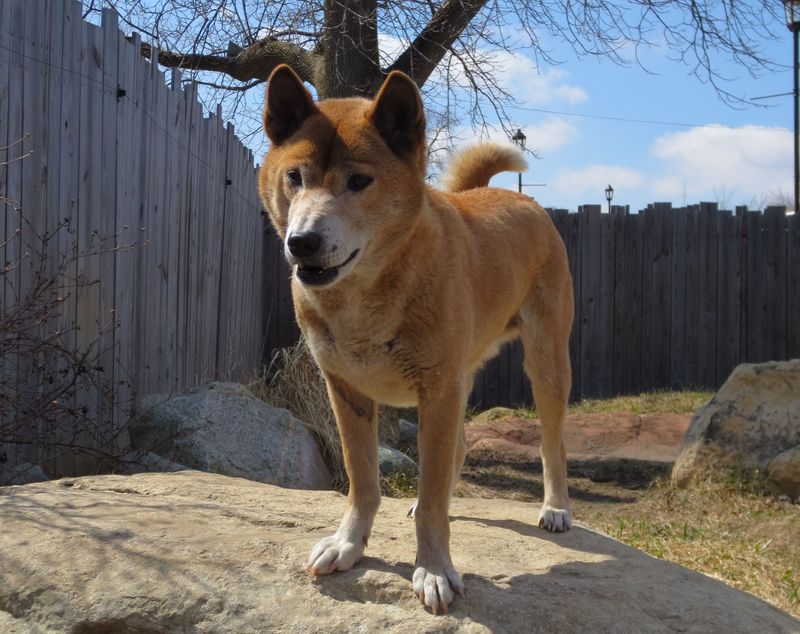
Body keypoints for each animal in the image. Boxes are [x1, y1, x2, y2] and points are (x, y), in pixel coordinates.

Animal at [260, 65, 572, 612]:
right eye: (295, 177)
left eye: (360, 181)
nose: (302, 242)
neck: (365, 294)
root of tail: (520, 196)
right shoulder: (347, 390)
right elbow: (363, 478)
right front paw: (348, 543)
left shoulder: (437, 388)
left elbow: (430, 499)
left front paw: (434, 568)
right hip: (462, 377)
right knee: (459, 448)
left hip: (546, 362)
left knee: (551, 442)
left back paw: (555, 507)